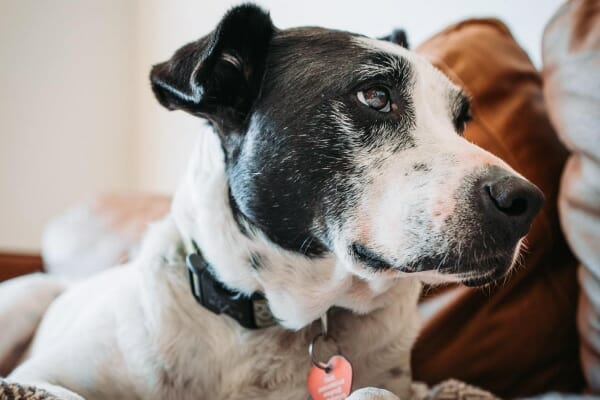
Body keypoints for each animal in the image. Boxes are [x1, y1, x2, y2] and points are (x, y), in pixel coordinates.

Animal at [0, 3, 544, 400]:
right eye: (374, 96)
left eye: (461, 121)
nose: (526, 202)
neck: (280, 321)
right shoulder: (40, 378)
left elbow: (378, 391)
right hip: (24, 297)